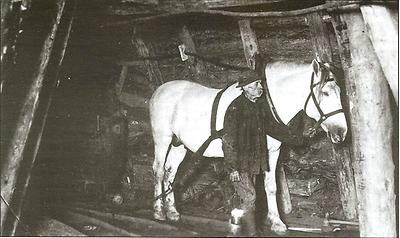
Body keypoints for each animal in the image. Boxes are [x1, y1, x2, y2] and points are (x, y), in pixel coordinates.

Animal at [148, 58, 348, 233]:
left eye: (340, 91)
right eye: (325, 93)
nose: (341, 132)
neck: (263, 105)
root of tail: (159, 90)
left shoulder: (271, 153)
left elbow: (270, 187)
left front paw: (277, 222)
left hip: (179, 145)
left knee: (170, 172)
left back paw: (172, 212)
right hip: (162, 138)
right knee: (159, 171)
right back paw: (158, 211)